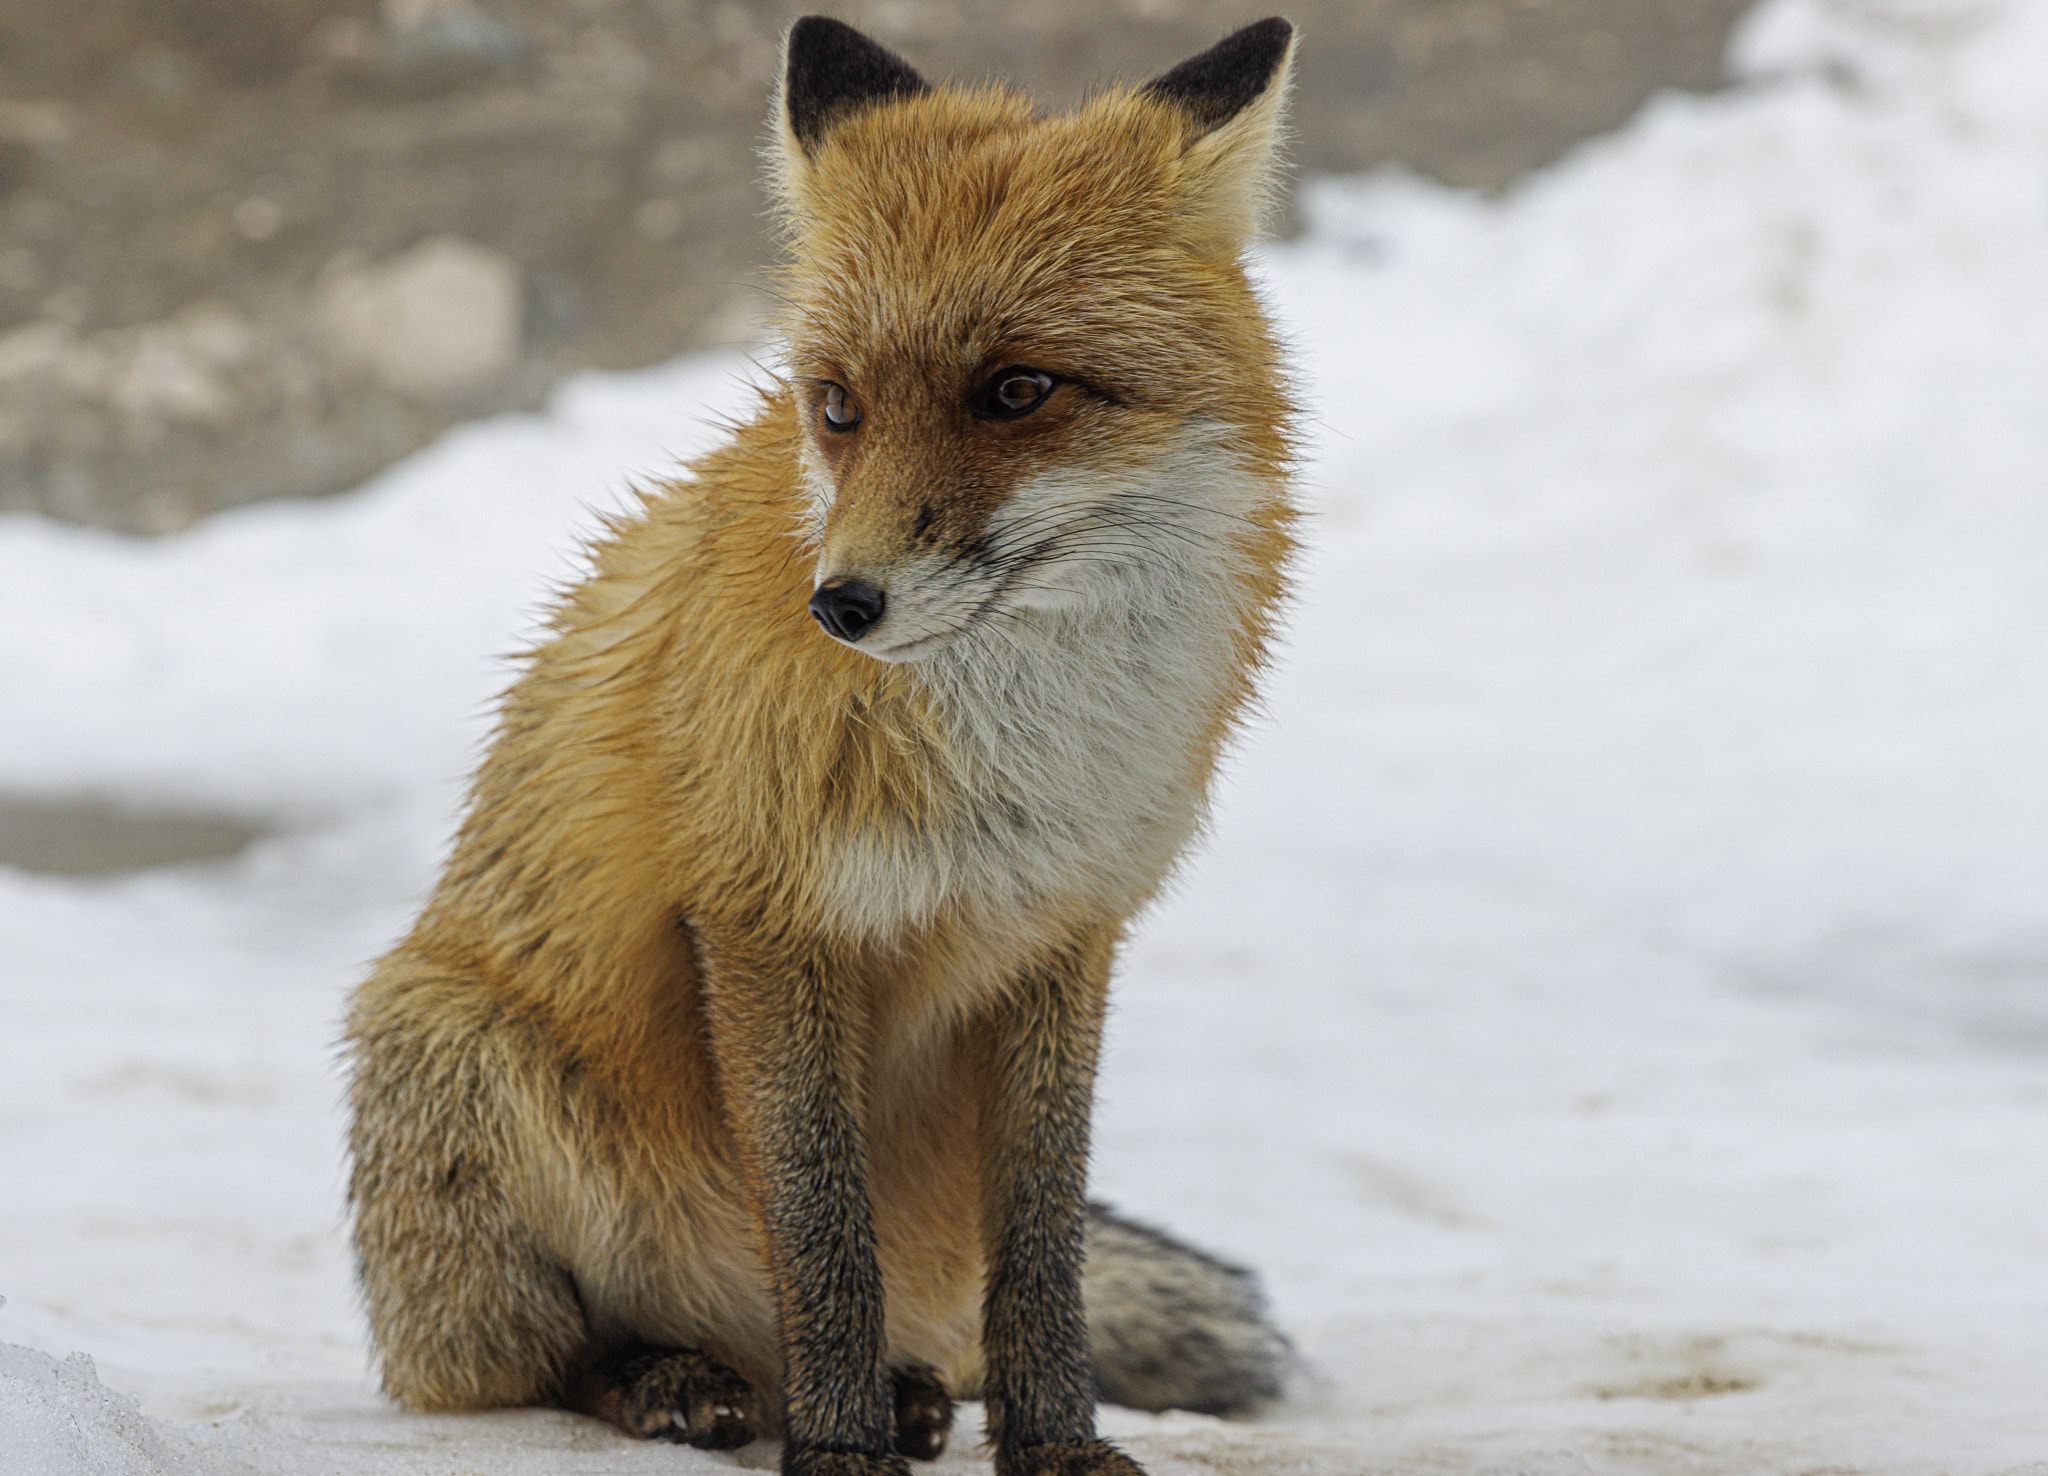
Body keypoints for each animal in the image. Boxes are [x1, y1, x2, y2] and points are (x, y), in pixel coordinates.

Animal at [344, 15, 1300, 1476]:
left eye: (1016, 390)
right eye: (838, 406)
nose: (840, 606)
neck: (1017, 757)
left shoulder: (1064, 937)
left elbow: (1043, 1253)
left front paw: (1056, 1446)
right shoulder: (765, 923)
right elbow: (822, 1234)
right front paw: (837, 1451)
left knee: (930, 1327)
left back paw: (900, 1393)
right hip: (450, 1048)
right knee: (542, 1359)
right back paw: (679, 1380)